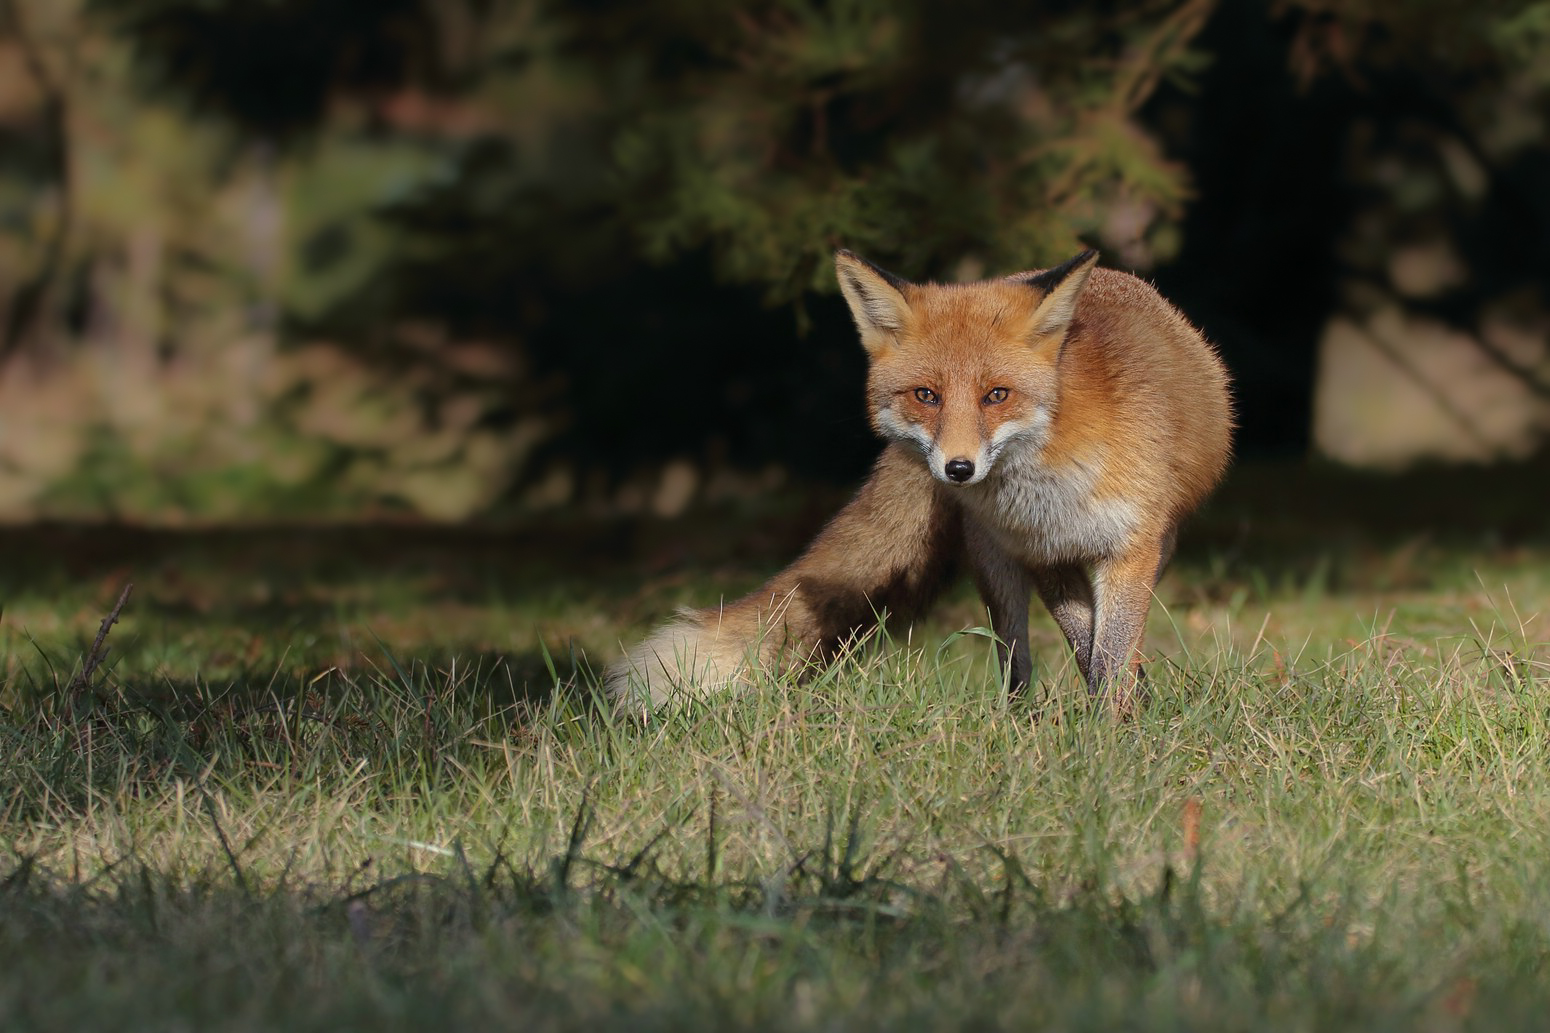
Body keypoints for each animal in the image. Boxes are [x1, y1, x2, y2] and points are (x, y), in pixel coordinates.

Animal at [610, 249, 1227, 713]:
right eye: (926, 395)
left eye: (996, 395)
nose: (958, 469)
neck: (1052, 479)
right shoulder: (1041, 555)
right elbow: (1086, 648)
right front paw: (1106, 728)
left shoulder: (1127, 549)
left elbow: (1110, 653)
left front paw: (1114, 729)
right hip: (994, 571)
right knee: (1015, 659)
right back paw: (1018, 722)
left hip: (1158, 548)